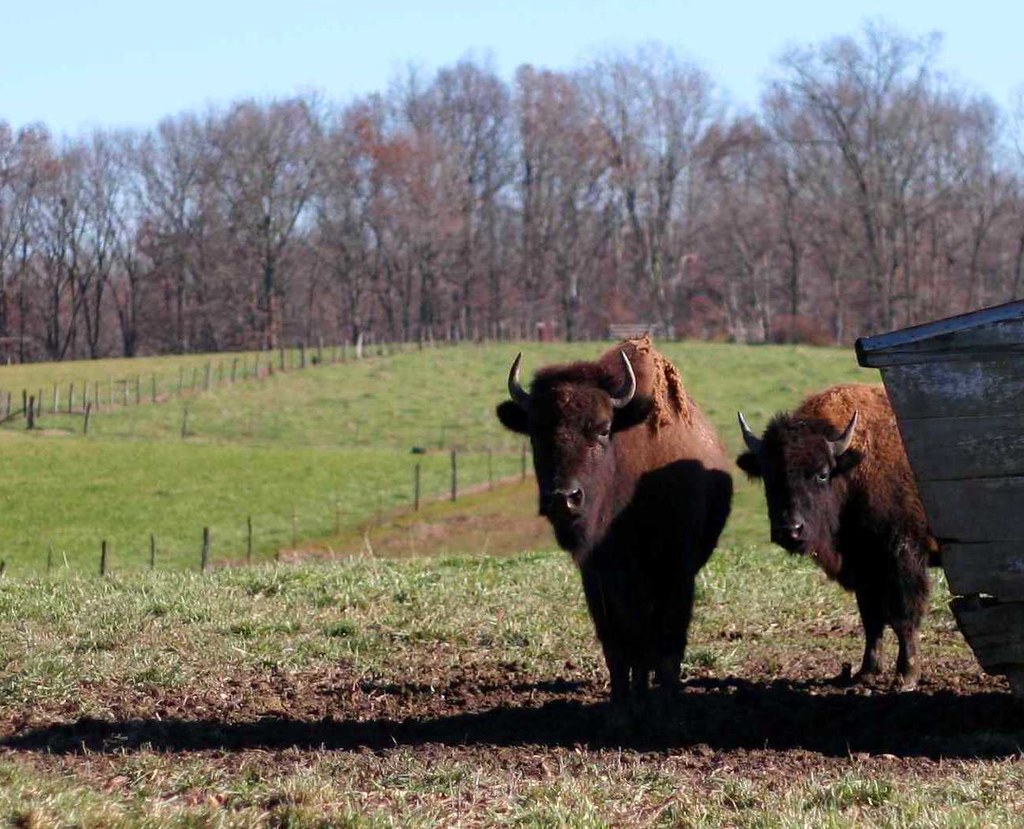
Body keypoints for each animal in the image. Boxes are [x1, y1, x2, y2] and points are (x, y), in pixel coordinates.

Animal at [497, 337, 733, 704]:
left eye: (604, 429)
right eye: (535, 433)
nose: (563, 497)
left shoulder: (676, 569)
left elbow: (668, 640)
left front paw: (666, 700)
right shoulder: (598, 574)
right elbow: (617, 643)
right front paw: (622, 701)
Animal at [737, 383, 938, 690]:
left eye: (822, 474)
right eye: (769, 477)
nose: (790, 530)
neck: (853, 471)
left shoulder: (904, 557)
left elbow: (904, 617)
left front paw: (905, 676)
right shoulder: (863, 565)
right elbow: (871, 619)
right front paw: (866, 672)